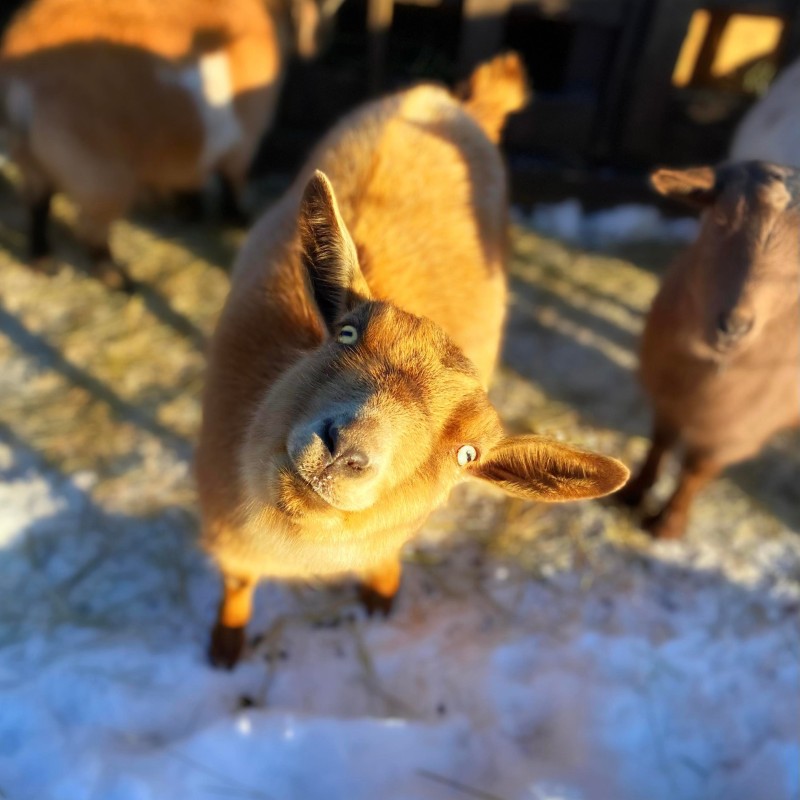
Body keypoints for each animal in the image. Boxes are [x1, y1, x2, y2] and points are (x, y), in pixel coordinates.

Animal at [0, 0, 333, 289]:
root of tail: (18, 78)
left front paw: (187, 208)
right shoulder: (242, 138)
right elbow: (231, 181)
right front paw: (237, 219)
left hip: (32, 158)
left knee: (36, 202)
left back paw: (42, 260)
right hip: (100, 175)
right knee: (90, 229)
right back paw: (118, 278)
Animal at [195, 53, 629, 668]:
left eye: (467, 455)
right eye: (346, 334)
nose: (346, 451)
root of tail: (451, 101)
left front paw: (382, 597)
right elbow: (237, 585)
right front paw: (226, 643)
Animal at [620, 161, 800, 539]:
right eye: (720, 219)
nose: (733, 325)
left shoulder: (735, 425)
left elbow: (694, 470)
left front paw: (667, 524)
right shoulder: (670, 397)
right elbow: (660, 442)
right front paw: (633, 493)